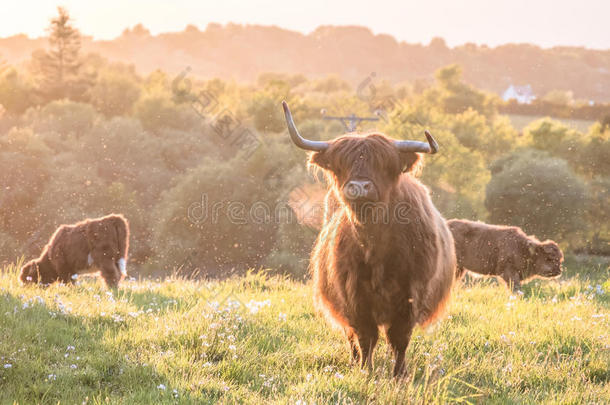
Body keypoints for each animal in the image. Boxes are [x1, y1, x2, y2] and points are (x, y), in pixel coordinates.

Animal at [282, 100, 454, 376]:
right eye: (342, 164)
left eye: (384, 165)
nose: (359, 187)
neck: (375, 244)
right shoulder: (353, 295)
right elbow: (365, 337)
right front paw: (366, 370)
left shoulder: (411, 294)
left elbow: (399, 338)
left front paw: (399, 374)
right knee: (351, 336)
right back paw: (355, 362)